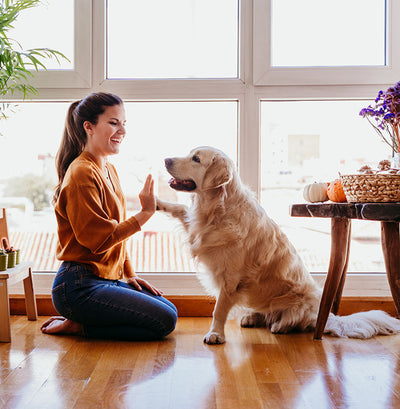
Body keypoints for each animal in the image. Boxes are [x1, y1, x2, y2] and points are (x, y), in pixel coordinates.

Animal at [155, 147, 400, 344]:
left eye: (196, 159)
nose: (165, 159)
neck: (216, 209)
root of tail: (328, 316)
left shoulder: (231, 278)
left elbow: (219, 309)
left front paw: (215, 334)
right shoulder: (196, 228)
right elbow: (179, 209)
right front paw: (156, 202)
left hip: (301, 301)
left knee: (295, 320)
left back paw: (280, 325)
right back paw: (252, 317)